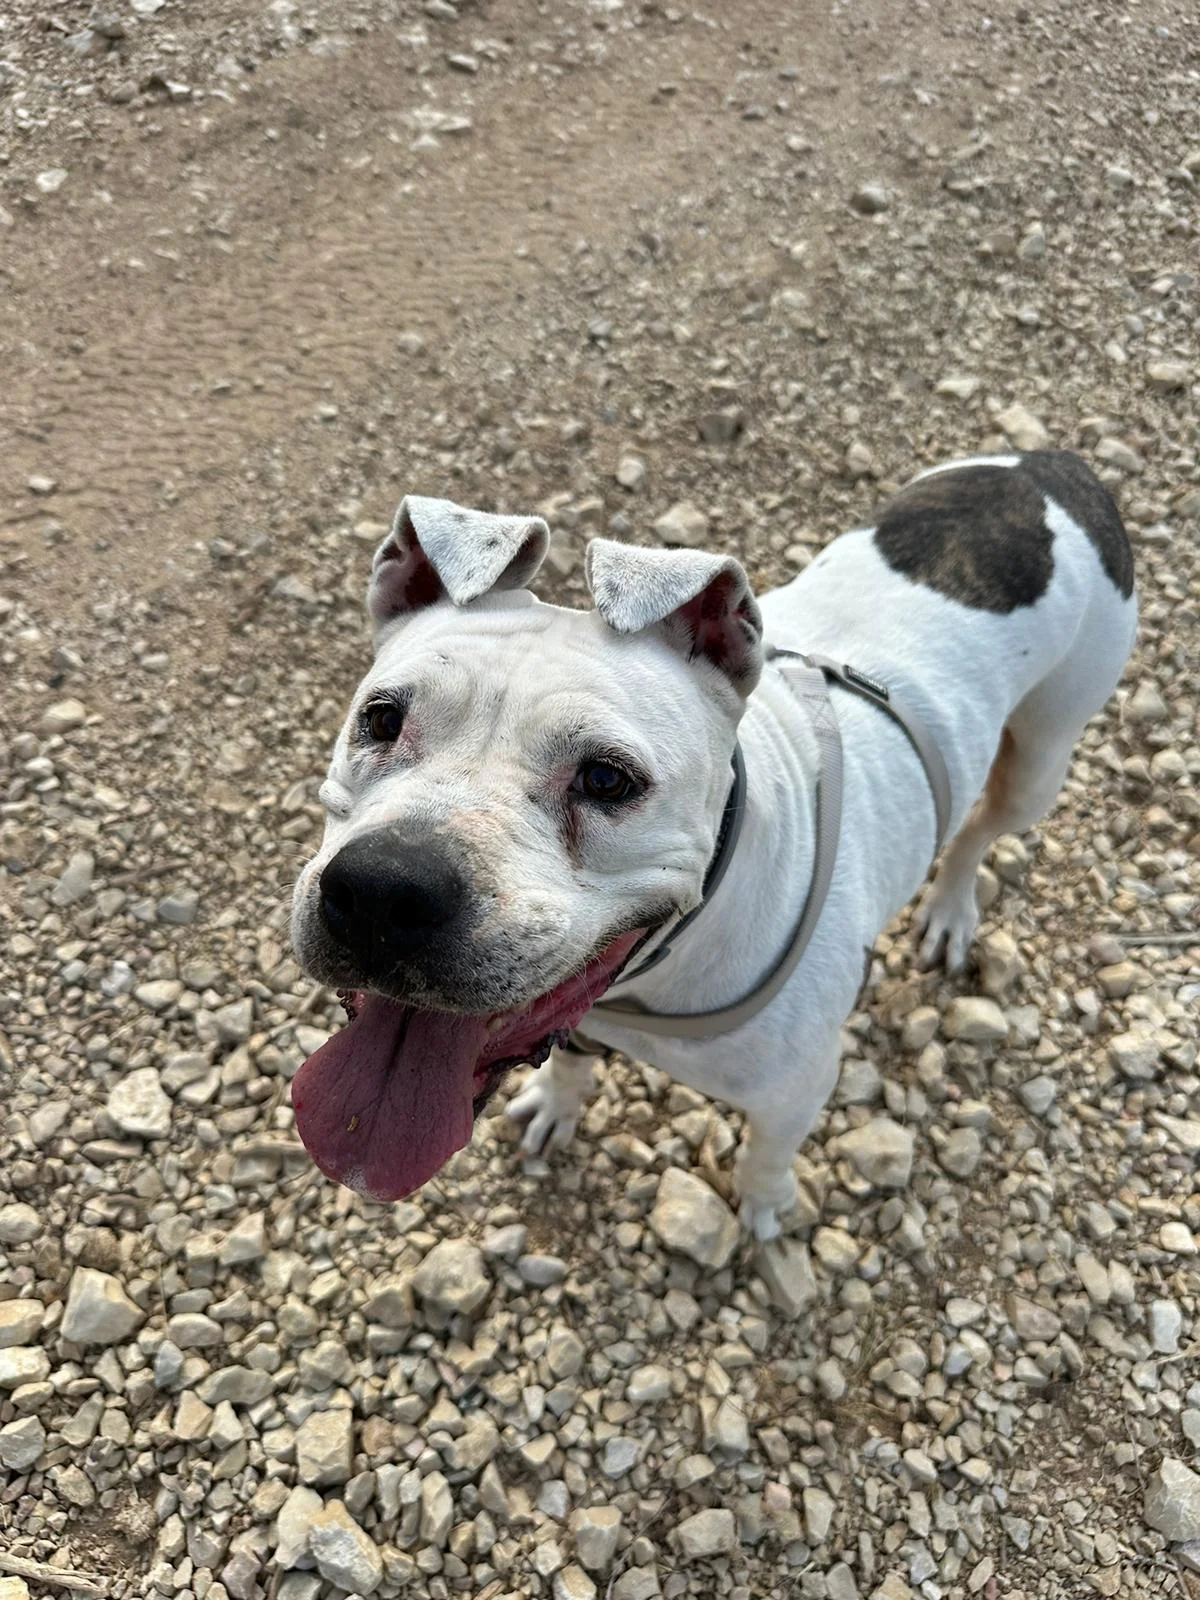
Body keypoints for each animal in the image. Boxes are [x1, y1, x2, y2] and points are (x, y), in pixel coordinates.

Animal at [289, 451, 1139, 1235]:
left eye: (606, 780)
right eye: (382, 719)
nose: (383, 891)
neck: (662, 971)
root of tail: (1051, 464)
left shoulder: (796, 1090)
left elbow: (766, 1154)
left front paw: (764, 1212)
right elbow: (568, 1060)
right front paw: (556, 1104)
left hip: (1042, 758)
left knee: (978, 832)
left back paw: (951, 909)